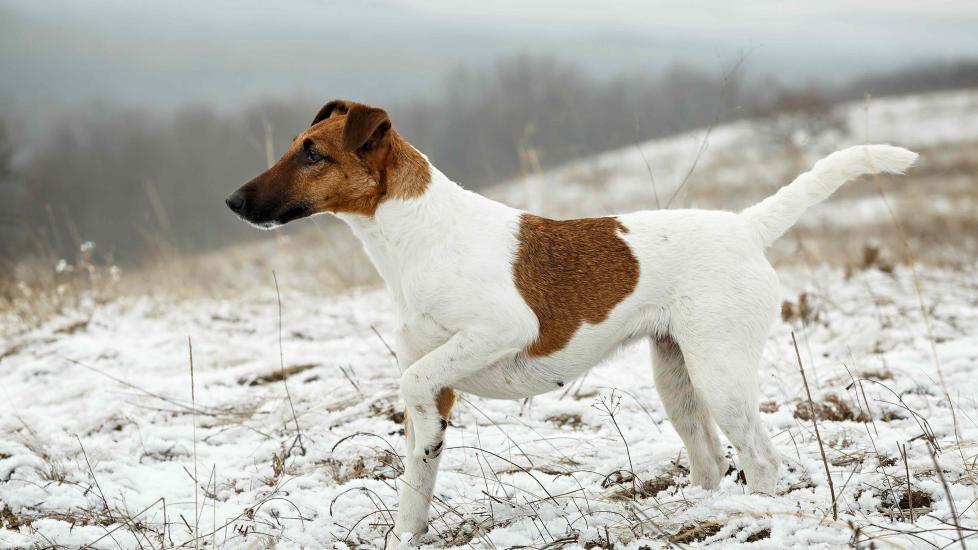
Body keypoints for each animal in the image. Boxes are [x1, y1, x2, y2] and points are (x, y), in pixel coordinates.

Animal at [227, 99, 916, 548]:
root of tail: (745, 227)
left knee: (764, 460)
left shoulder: (497, 332)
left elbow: (415, 381)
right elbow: (416, 479)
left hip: (721, 375)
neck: (416, 234)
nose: (232, 201)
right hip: (677, 379)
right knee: (711, 459)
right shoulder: (439, 384)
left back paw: (754, 516)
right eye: (294, 147)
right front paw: (407, 528)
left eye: (313, 153)